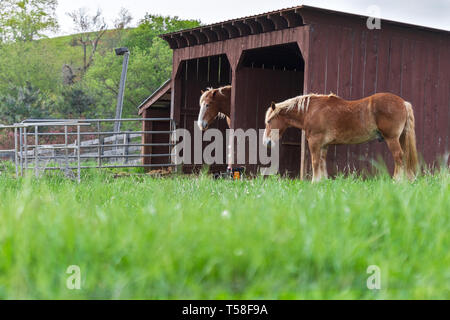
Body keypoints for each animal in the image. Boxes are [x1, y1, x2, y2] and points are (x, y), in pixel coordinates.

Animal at [264, 92, 418, 182]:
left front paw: (314, 182)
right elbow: (322, 162)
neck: (311, 110)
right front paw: (322, 182)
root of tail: (403, 102)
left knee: (398, 157)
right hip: (400, 138)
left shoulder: (315, 142)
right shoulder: (324, 145)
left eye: (269, 121)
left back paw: (397, 181)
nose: (266, 142)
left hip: (392, 139)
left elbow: (315, 162)